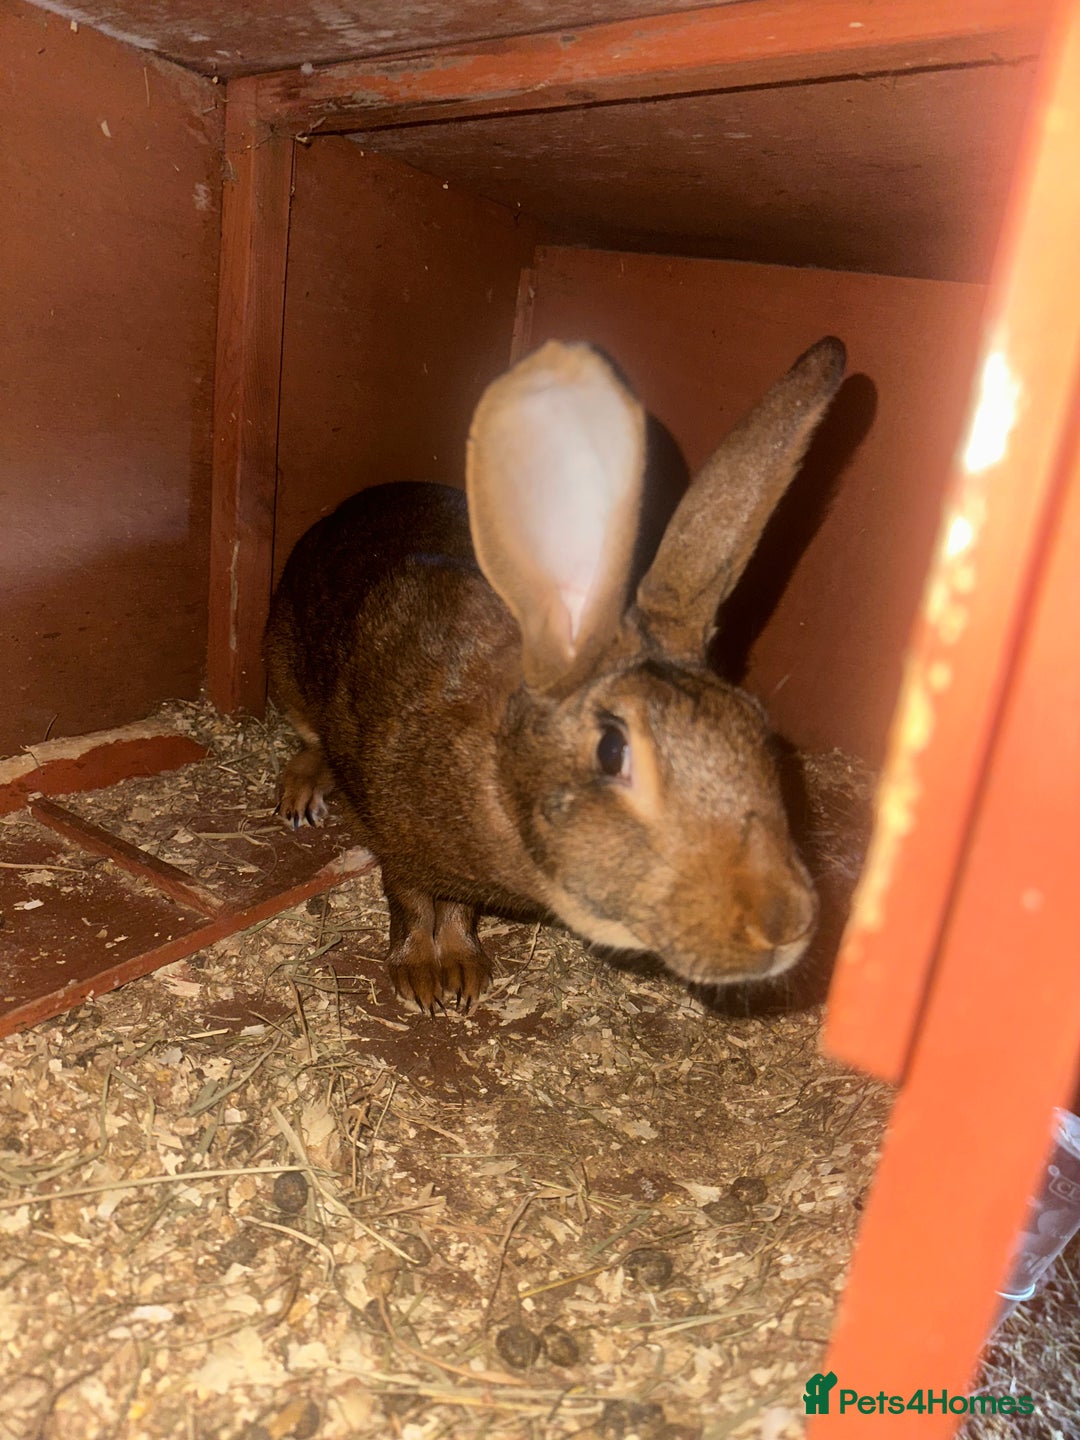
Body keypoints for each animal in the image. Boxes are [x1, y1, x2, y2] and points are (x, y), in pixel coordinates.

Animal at [265, 336, 846, 1012]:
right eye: (613, 750)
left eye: (756, 728)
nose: (786, 924)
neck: (496, 770)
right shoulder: (389, 832)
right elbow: (409, 899)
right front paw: (421, 981)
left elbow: (457, 908)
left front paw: (463, 971)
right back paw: (300, 794)